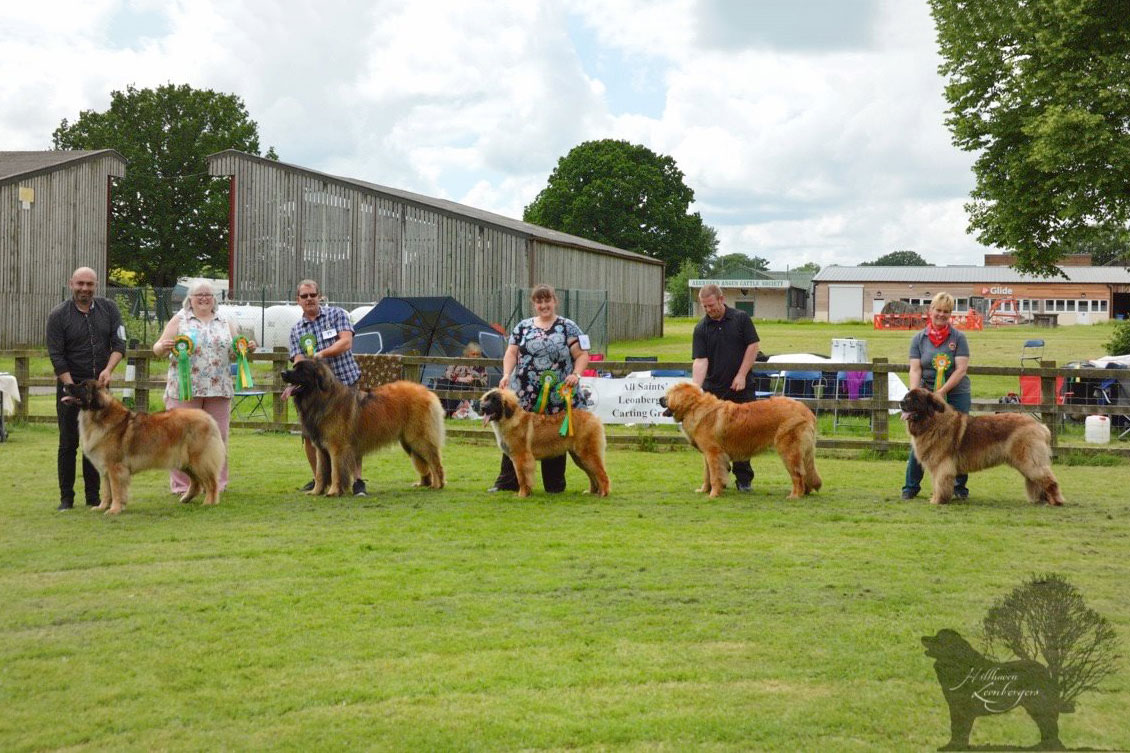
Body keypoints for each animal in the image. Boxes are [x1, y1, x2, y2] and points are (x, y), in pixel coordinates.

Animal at [61, 377, 224, 513]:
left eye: (84, 386)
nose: (65, 385)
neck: (98, 415)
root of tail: (208, 417)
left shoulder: (115, 468)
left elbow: (116, 490)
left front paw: (114, 509)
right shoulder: (105, 469)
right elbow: (106, 491)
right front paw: (102, 507)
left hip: (199, 460)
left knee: (211, 483)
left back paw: (209, 503)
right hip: (185, 462)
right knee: (196, 483)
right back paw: (186, 499)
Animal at [277, 357, 445, 492]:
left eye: (302, 370)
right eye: (294, 366)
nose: (282, 373)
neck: (321, 399)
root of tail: (427, 391)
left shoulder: (336, 447)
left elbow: (335, 472)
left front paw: (333, 491)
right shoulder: (320, 448)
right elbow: (320, 473)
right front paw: (316, 492)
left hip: (418, 439)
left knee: (435, 462)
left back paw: (437, 485)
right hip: (408, 442)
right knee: (424, 464)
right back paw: (423, 484)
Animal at [476, 386, 610, 497]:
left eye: (495, 400)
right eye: (486, 399)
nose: (482, 408)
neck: (510, 419)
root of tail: (594, 417)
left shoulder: (521, 457)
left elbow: (522, 478)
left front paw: (522, 494)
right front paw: (526, 492)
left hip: (587, 454)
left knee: (601, 473)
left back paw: (603, 493)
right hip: (579, 457)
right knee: (592, 474)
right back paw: (592, 491)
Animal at [655, 382, 822, 497]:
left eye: (669, 394)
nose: (659, 399)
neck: (694, 407)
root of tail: (807, 411)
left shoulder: (714, 454)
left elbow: (715, 475)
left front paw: (713, 494)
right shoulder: (707, 455)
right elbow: (707, 474)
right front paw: (704, 490)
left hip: (788, 451)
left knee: (798, 475)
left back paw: (795, 495)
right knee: (805, 473)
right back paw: (805, 492)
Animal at [894, 386, 1062, 504]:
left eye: (915, 399)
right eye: (906, 397)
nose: (900, 403)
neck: (932, 421)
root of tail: (1040, 426)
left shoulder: (942, 465)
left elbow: (940, 483)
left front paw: (937, 500)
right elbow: (937, 483)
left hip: (1029, 461)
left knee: (1048, 479)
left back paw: (1056, 500)